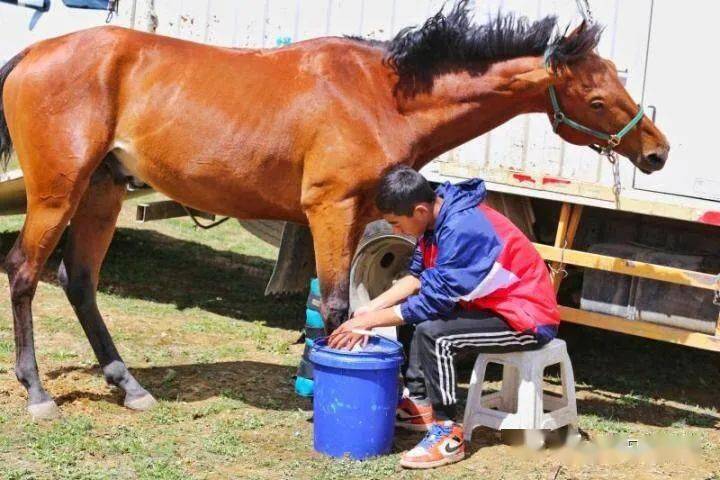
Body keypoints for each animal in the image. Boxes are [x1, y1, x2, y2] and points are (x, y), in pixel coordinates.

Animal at [0, 1, 668, 418]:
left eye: (617, 80)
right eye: (597, 97)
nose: (656, 151)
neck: (380, 94)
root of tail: (33, 55)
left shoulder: (358, 214)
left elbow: (344, 301)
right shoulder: (333, 211)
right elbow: (339, 305)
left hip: (102, 194)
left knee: (80, 281)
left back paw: (129, 385)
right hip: (57, 194)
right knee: (25, 273)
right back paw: (37, 393)